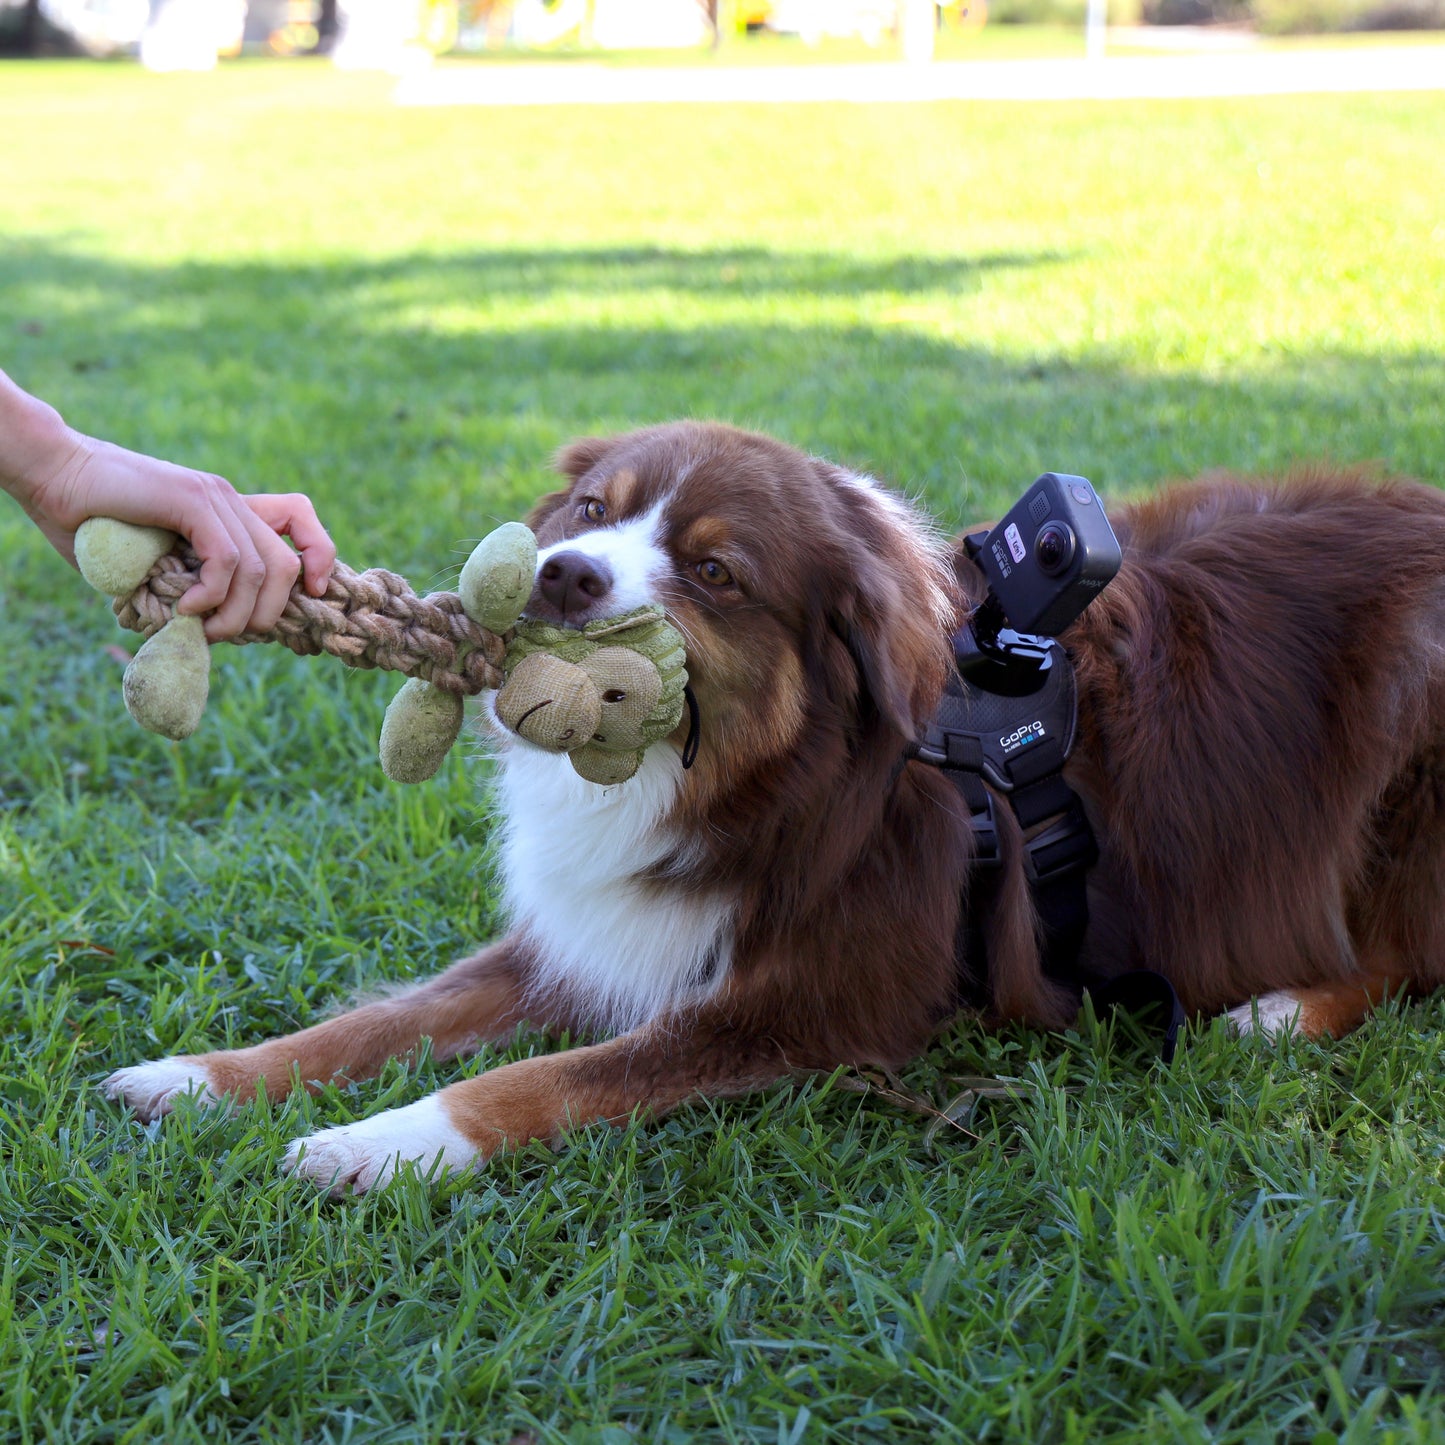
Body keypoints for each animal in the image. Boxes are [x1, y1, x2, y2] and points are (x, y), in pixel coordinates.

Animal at [106, 421, 1445, 1190]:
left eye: (713, 571)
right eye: (593, 509)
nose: (564, 575)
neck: (754, 773)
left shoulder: (816, 1006)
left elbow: (533, 1080)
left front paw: (377, 1145)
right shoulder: (595, 934)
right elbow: (366, 1023)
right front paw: (199, 1075)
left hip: (1408, 723)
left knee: (1396, 958)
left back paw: (1278, 1010)